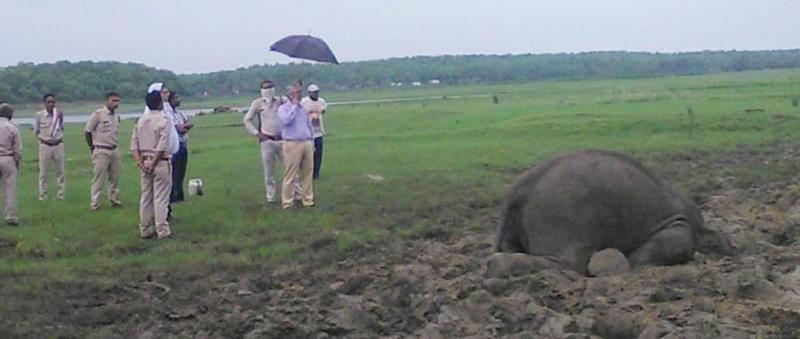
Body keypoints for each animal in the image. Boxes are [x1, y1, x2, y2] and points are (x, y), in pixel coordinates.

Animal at [488, 150, 732, 278]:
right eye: (718, 247)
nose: (733, 252)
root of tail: (522, 186)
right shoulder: (676, 223)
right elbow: (675, 241)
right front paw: (629, 265)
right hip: (563, 213)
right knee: (570, 263)